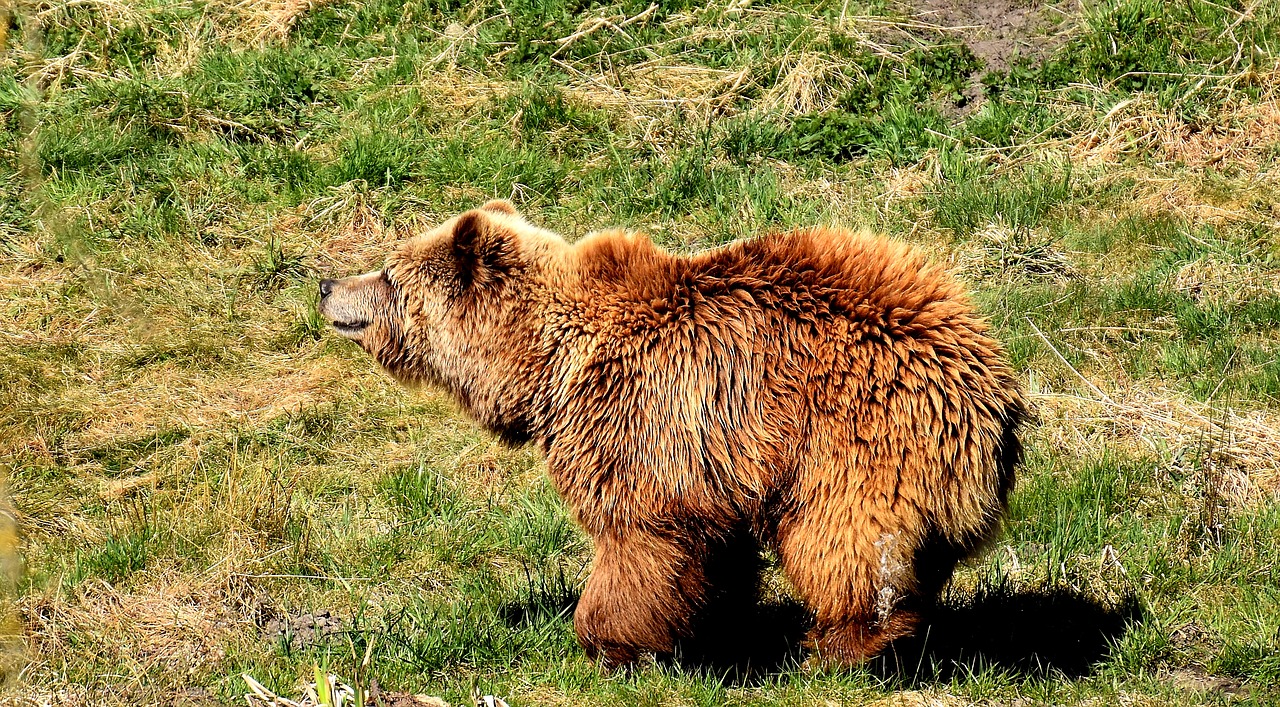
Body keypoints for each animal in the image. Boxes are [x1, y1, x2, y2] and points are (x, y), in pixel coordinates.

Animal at [320, 199, 1029, 666]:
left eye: (389, 273)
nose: (328, 284)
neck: (545, 363)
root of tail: (990, 383)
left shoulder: (638, 417)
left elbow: (639, 538)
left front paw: (608, 642)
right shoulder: (715, 462)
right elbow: (715, 551)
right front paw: (716, 624)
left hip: (858, 437)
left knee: (844, 539)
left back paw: (839, 646)